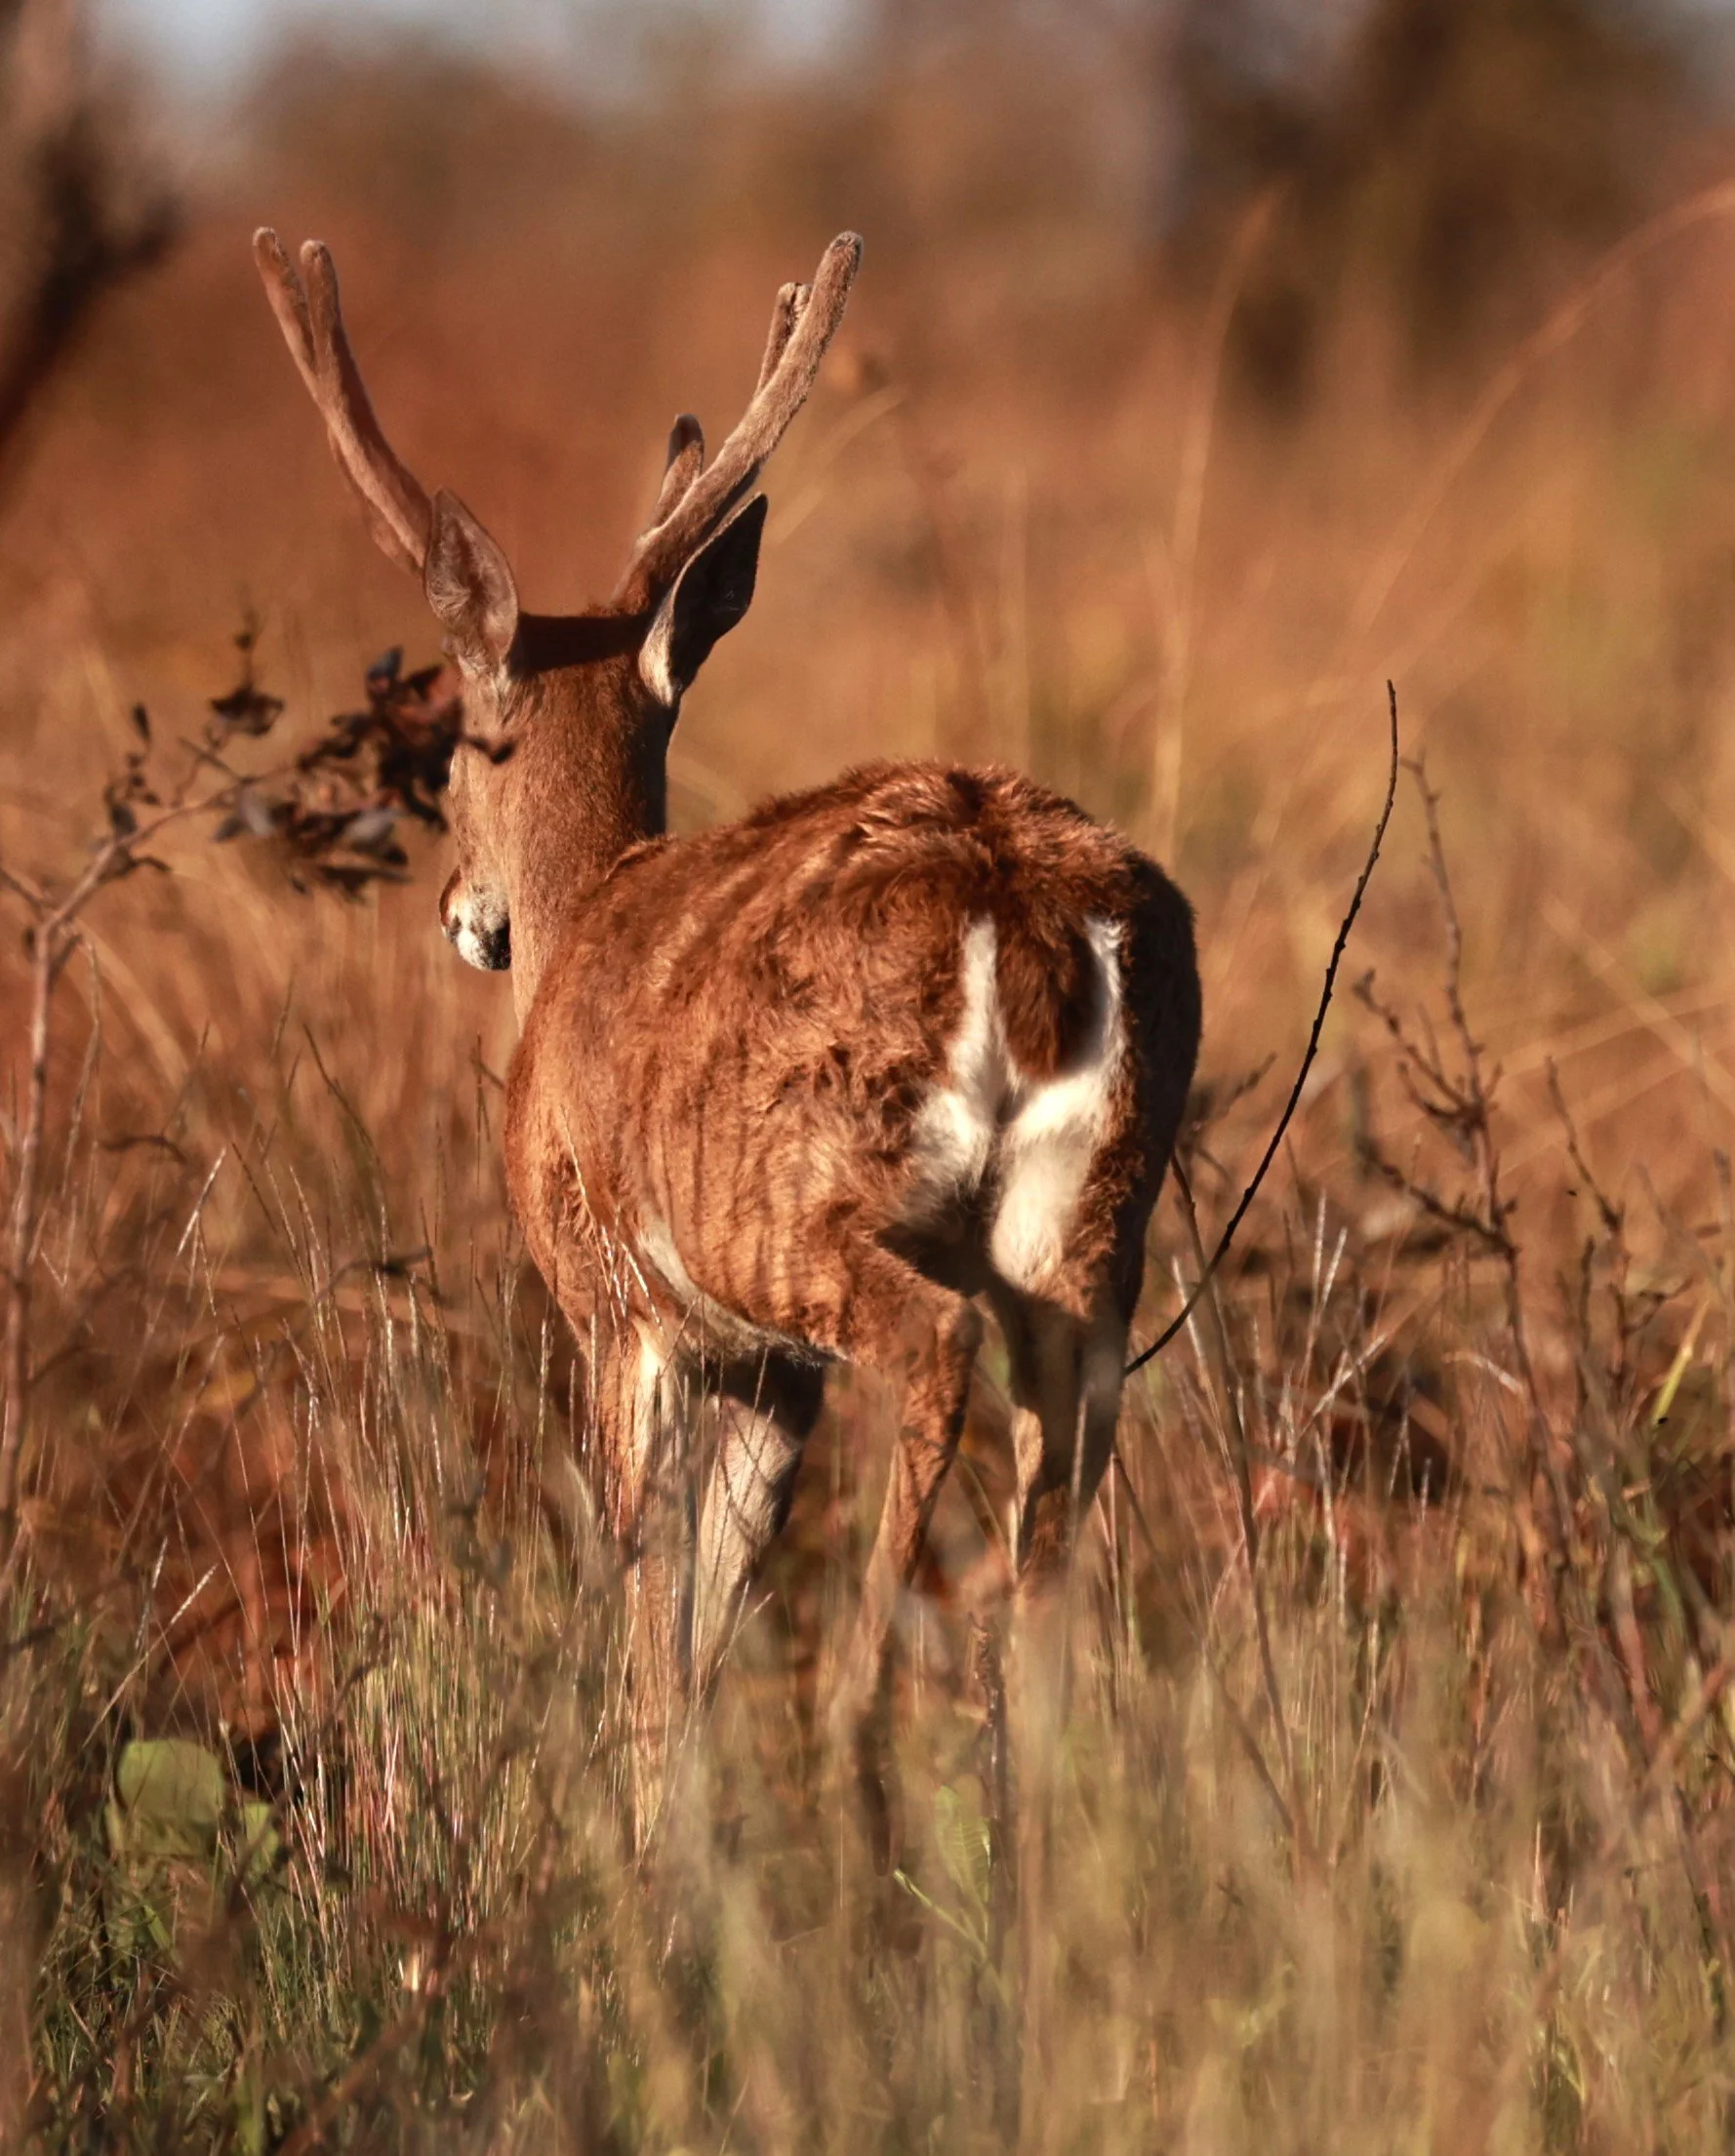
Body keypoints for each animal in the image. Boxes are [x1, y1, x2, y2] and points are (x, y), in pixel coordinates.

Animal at [252, 226, 1202, 1833]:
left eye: (453, 754)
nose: (459, 911)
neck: (584, 914)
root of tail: (1020, 909)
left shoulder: (621, 1303)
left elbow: (646, 1617)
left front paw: (641, 1846)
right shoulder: (766, 1369)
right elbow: (705, 1619)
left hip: (796, 1201)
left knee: (933, 1346)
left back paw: (864, 1732)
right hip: (1095, 1224)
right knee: (1063, 1472)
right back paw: (1020, 1791)